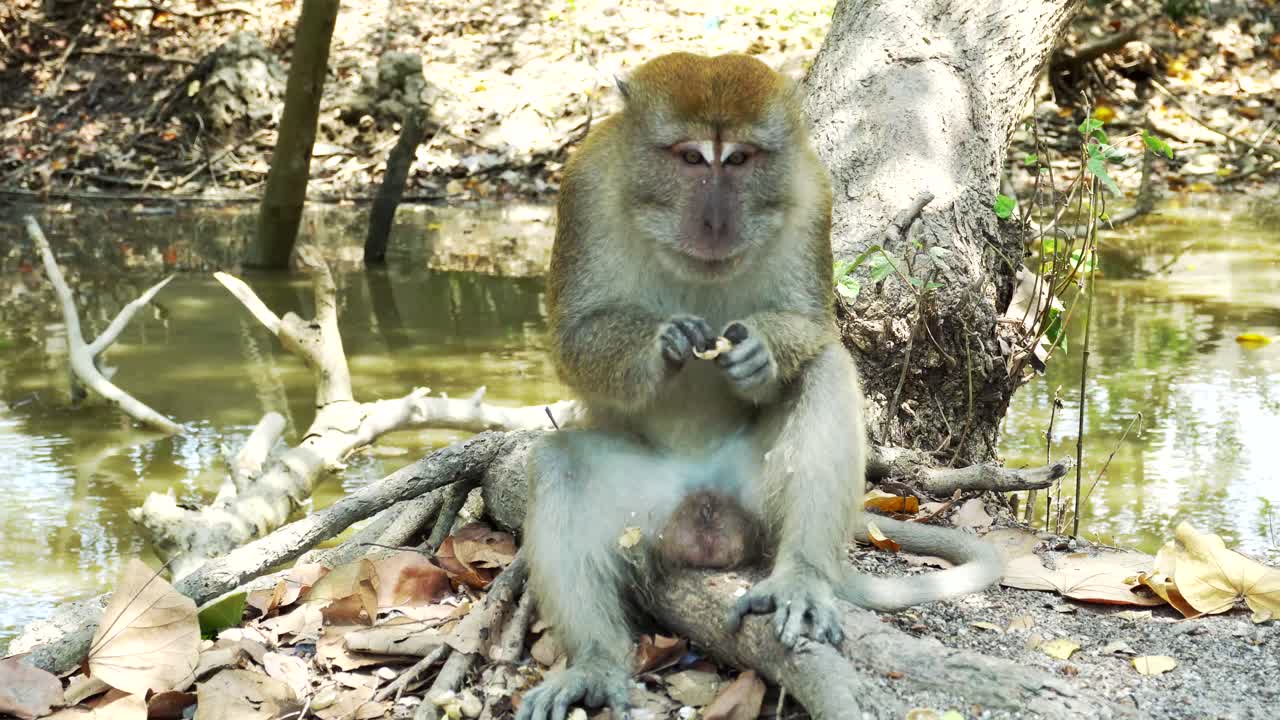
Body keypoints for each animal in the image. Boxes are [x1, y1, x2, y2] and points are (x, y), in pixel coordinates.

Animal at [518, 53, 1004, 720]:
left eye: (740, 159)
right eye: (692, 158)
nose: (715, 220)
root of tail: (705, 510)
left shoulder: (811, 191)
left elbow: (815, 327)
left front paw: (761, 355)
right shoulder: (584, 186)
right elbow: (573, 339)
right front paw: (663, 343)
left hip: (759, 498)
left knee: (826, 371)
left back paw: (801, 580)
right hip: (642, 507)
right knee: (558, 463)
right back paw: (594, 660)